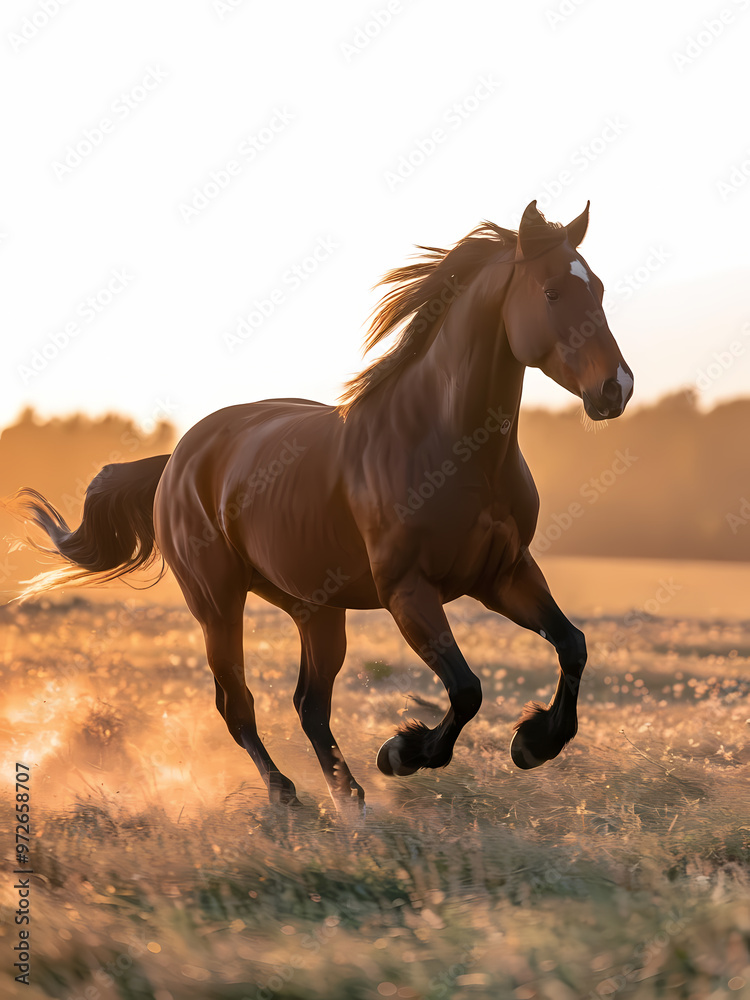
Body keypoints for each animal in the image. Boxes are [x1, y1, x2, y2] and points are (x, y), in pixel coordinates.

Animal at [9, 201, 633, 809]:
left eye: (599, 288)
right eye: (551, 292)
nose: (617, 388)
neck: (451, 445)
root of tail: (176, 461)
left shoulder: (503, 574)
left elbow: (572, 646)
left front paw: (533, 743)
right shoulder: (408, 590)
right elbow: (467, 689)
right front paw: (402, 752)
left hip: (316, 608)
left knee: (309, 704)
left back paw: (349, 798)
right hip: (217, 603)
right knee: (237, 703)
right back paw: (287, 796)